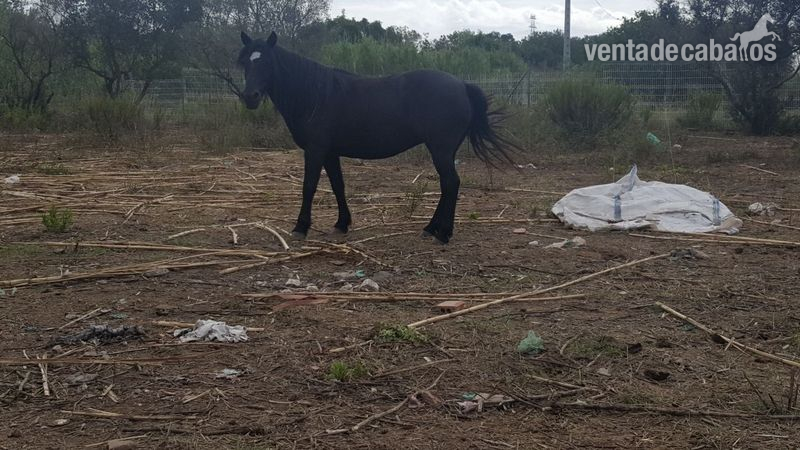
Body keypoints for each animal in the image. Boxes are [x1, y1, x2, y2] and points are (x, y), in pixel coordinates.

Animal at [238, 31, 518, 244]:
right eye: (245, 63)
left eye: (267, 62)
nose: (250, 97)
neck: (315, 95)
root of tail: (461, 85)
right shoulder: (330, 152)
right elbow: (338, 186)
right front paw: (342, 224)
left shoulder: (315, 150)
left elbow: (309, 187)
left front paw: (300, 227)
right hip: (445, 151)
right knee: (447, 185)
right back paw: (430, 229)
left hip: (440, 149)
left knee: (451, 183)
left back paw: (443, 234)